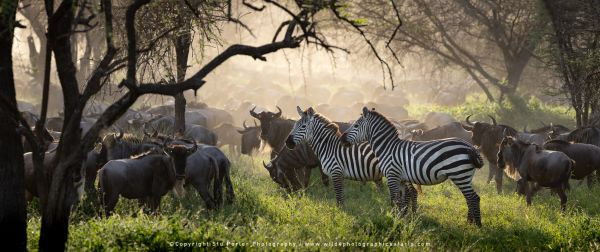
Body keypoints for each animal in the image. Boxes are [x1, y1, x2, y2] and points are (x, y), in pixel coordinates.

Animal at [340, 107, 486, 226]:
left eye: (356, 125)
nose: (341, 139)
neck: (388, 148)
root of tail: (470, 147)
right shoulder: (401, 178)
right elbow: (402, 200)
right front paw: (400, 218)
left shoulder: (392, 176)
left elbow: (395, 200)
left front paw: (393, 219)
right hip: (465, 176)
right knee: (469, 198)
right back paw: (469, 222)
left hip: (459, 174)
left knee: (473, 198)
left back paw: (477, 225)